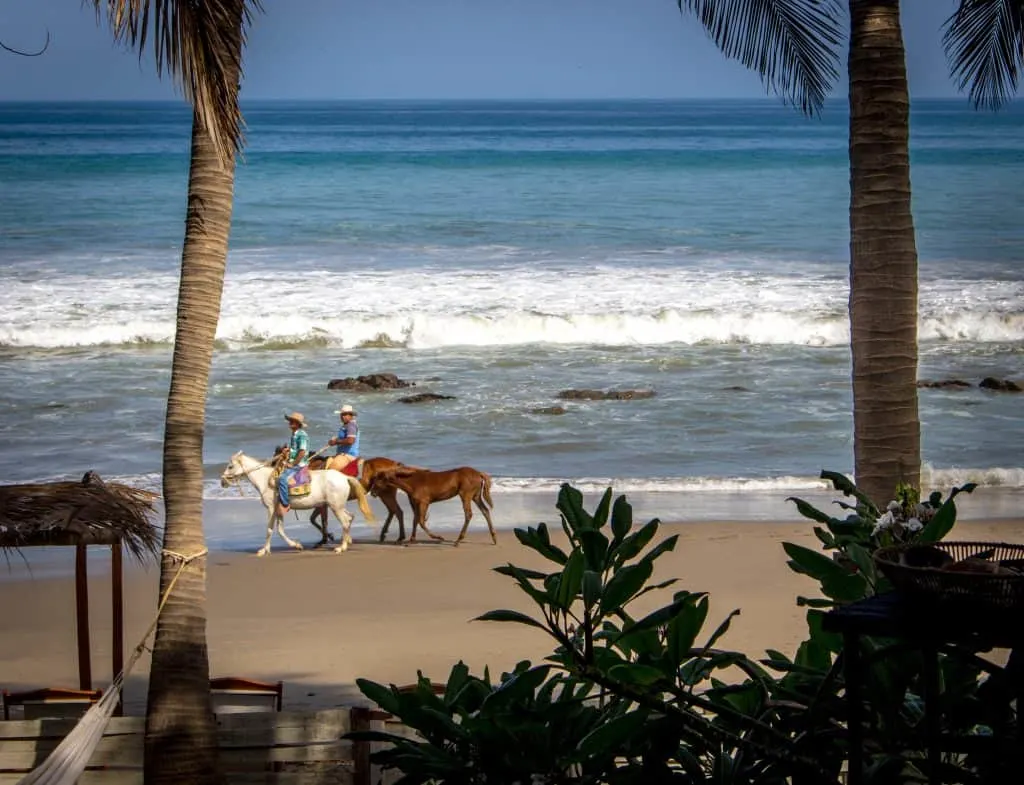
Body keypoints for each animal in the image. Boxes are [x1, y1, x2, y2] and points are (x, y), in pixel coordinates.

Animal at [219, 450, 376, 556]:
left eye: (230, 466)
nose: (222, 482)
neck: (265, 480)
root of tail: (344, 477)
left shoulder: (271, 508)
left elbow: (270, 529)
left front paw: (263, 550)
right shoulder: (279, 510)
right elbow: (280, 530)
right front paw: (296, 545)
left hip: (335, 507)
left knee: (344, 522)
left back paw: (341, 547)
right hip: (338, 506)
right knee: (350, 517)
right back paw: (346, 542)